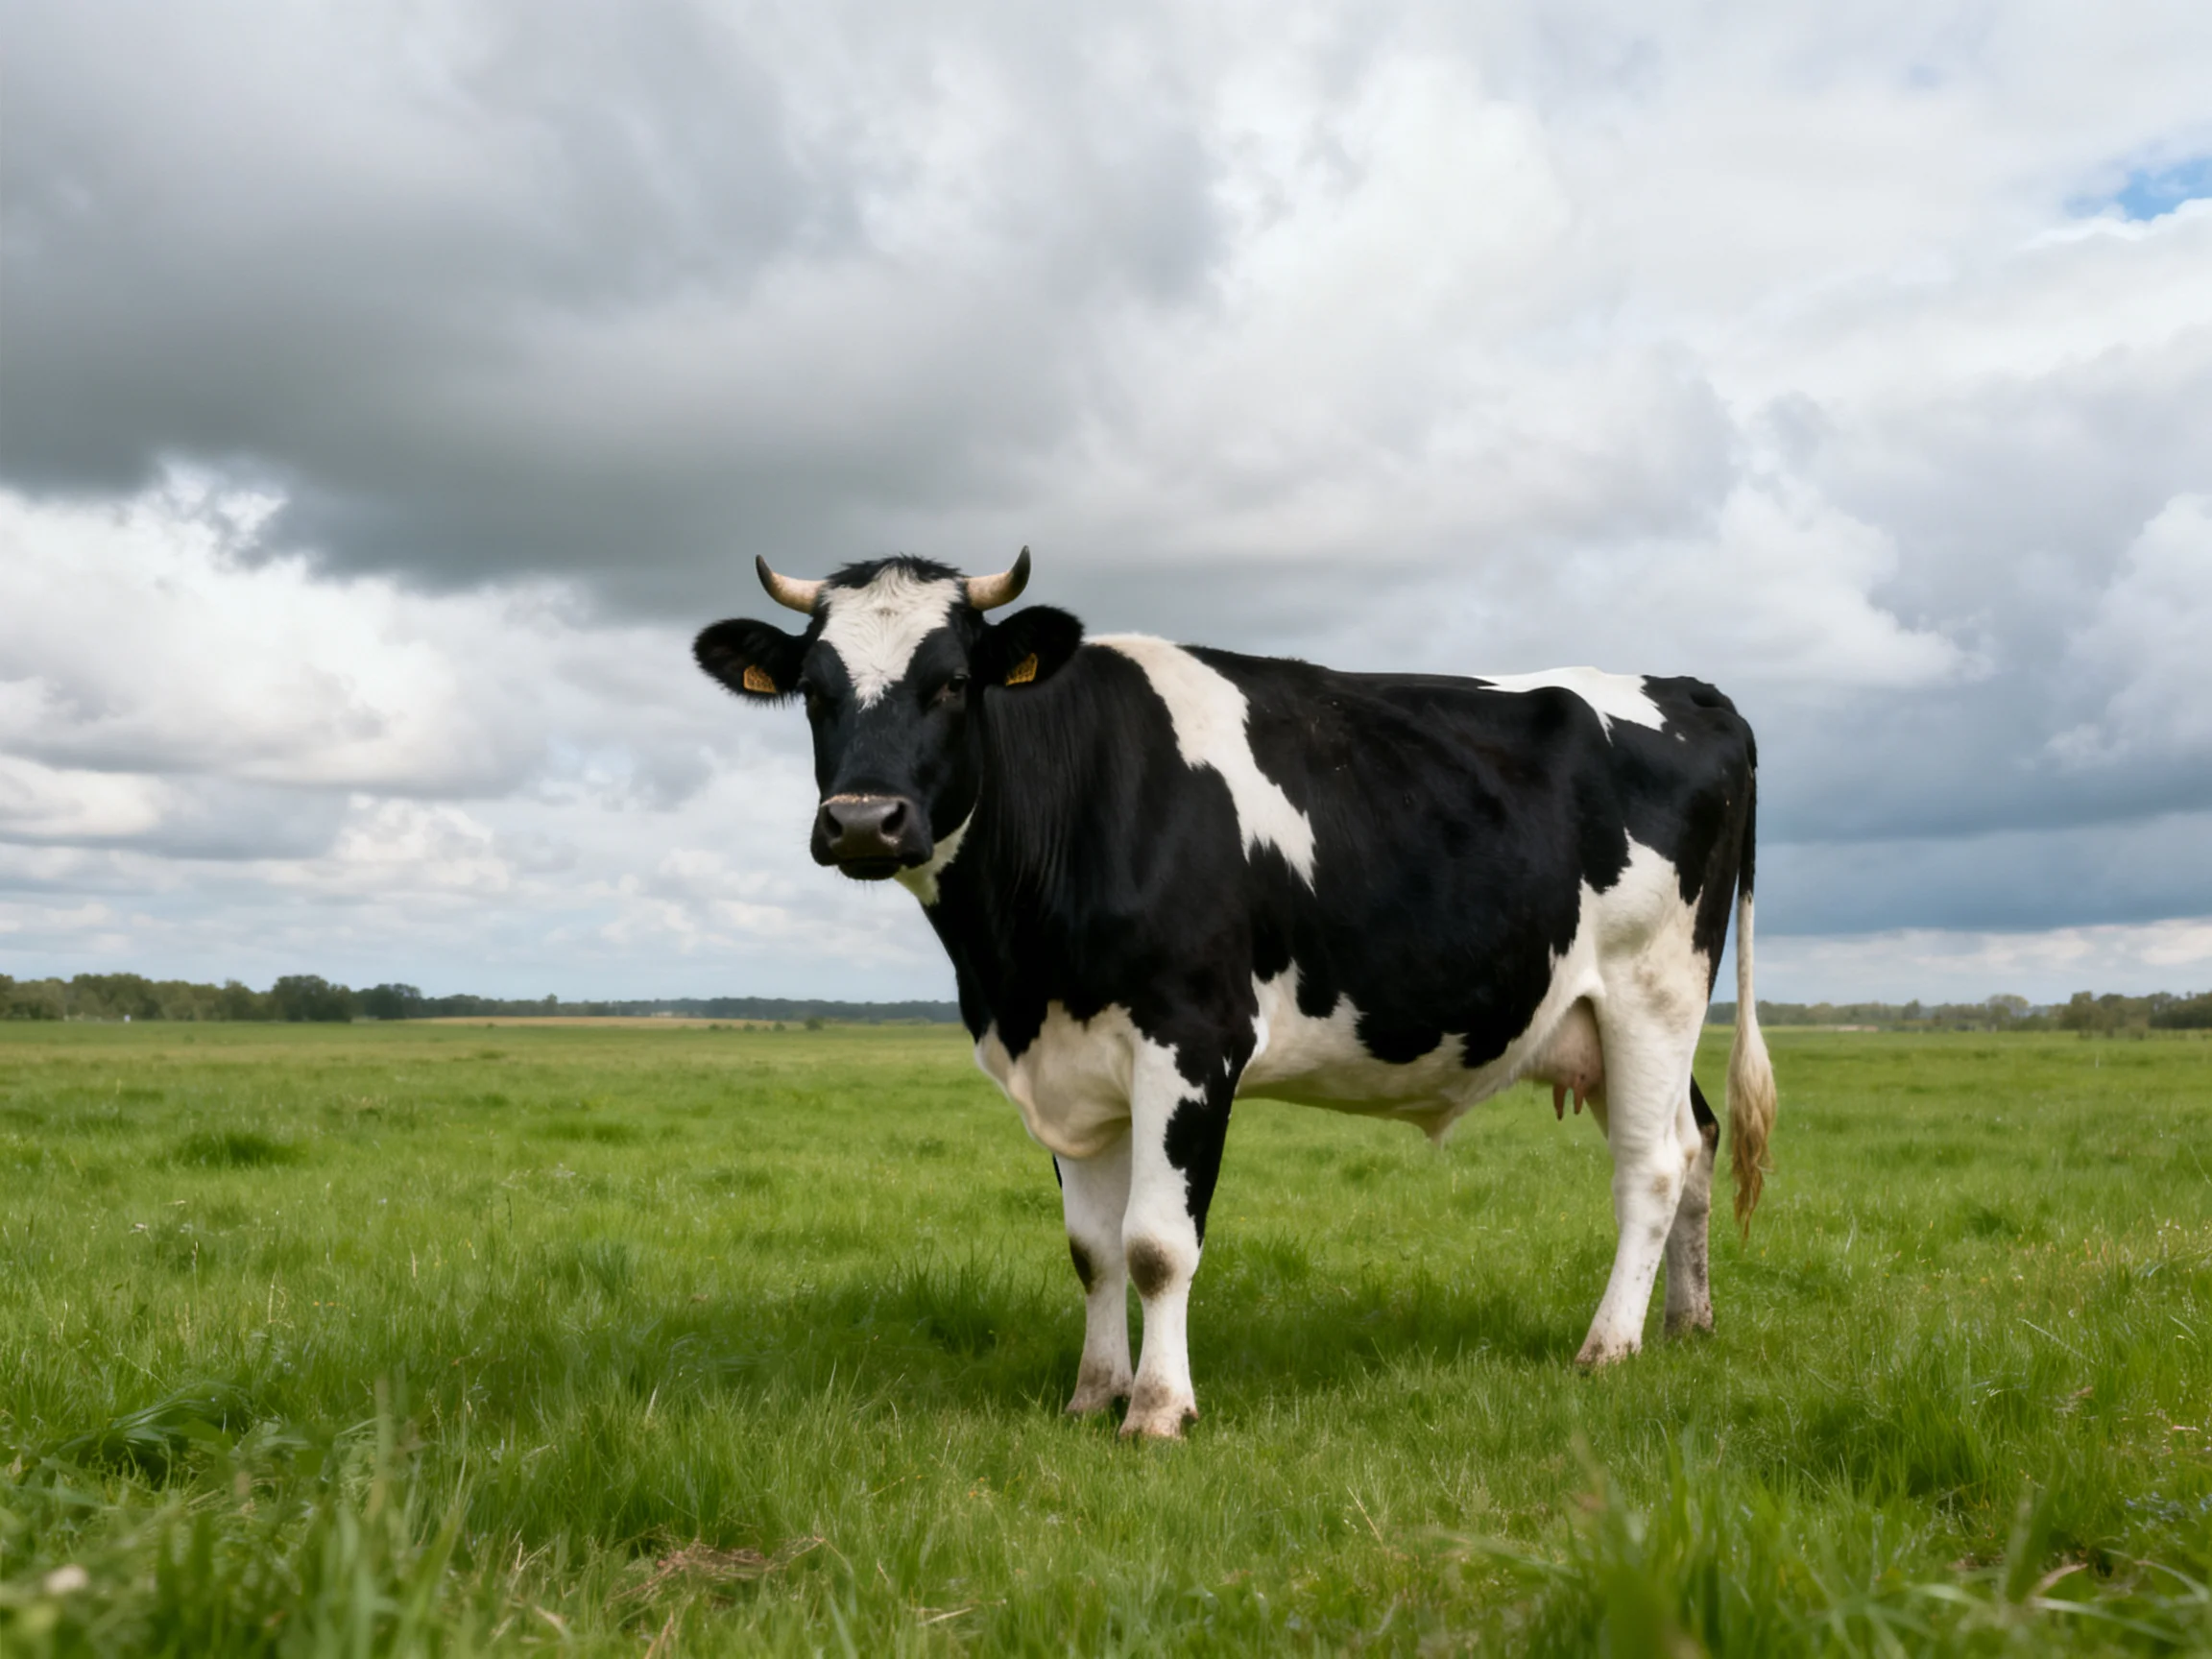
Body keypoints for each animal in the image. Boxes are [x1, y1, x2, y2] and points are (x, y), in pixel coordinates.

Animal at [695, 550, 1776, 1439]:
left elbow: (1156, 1245)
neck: (1018, 967)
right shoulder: (1069, 1061)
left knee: (1652, 1166)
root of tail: (1690, 690)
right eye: (815, 692)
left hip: (1654, 989)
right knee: (1698, 1138)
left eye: (955, 682)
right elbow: (1091, 1249)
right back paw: (1688, 1324)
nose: (863, 821)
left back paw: (1608, 1348)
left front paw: (1158, 1411)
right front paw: (1093, 1395)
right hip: (1598, 1018)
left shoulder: (1192, 1039)